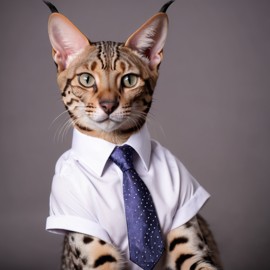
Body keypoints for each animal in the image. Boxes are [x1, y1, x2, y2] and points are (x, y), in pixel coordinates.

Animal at [44, 1, 223, 268]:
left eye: (129, 80)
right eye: (86, 79)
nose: (108, 105)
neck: (117, 145)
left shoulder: (190, 236)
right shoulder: (89, 242)